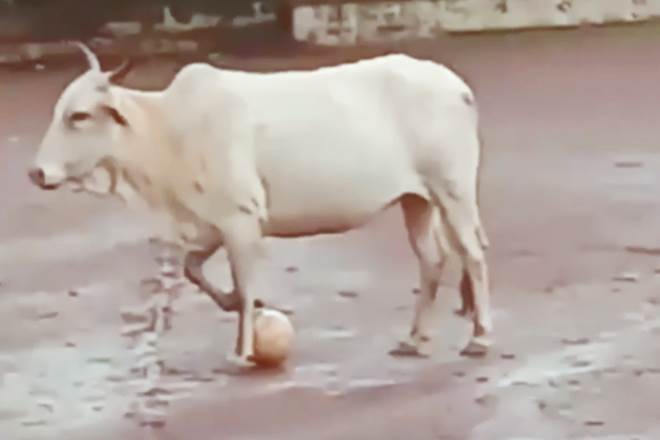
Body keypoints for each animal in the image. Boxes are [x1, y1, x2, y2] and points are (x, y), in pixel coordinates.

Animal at [28, 43, 492, 366]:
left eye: (80, 116)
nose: (37, 173)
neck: (167, 130)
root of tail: (459, 87)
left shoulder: (240, 218)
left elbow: (246, 283)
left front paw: (244, 349)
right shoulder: (212, 222)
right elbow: (193, 269)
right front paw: (234, 305)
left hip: (452, 189)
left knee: (472, 253)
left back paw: (479, 338)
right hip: (416, 200)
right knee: (432, 260)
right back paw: (413, 340)